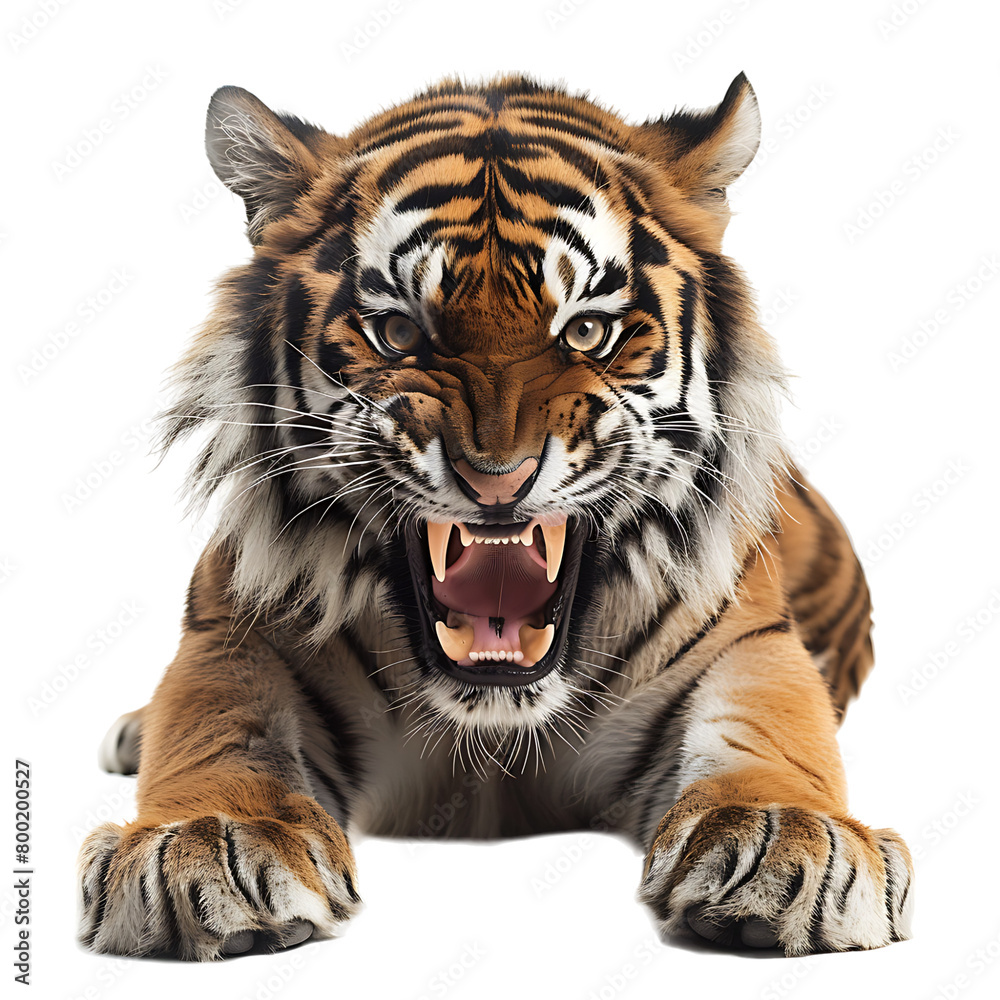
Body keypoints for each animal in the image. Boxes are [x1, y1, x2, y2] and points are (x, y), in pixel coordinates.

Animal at [77, 73, 913, 960]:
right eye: (398, 330)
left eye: (587, 330)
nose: (496, 478)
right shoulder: (238, 627)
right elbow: (218, 726)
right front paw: (208, 839)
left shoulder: (745, 640)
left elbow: (770, 735)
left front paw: (785, 836)